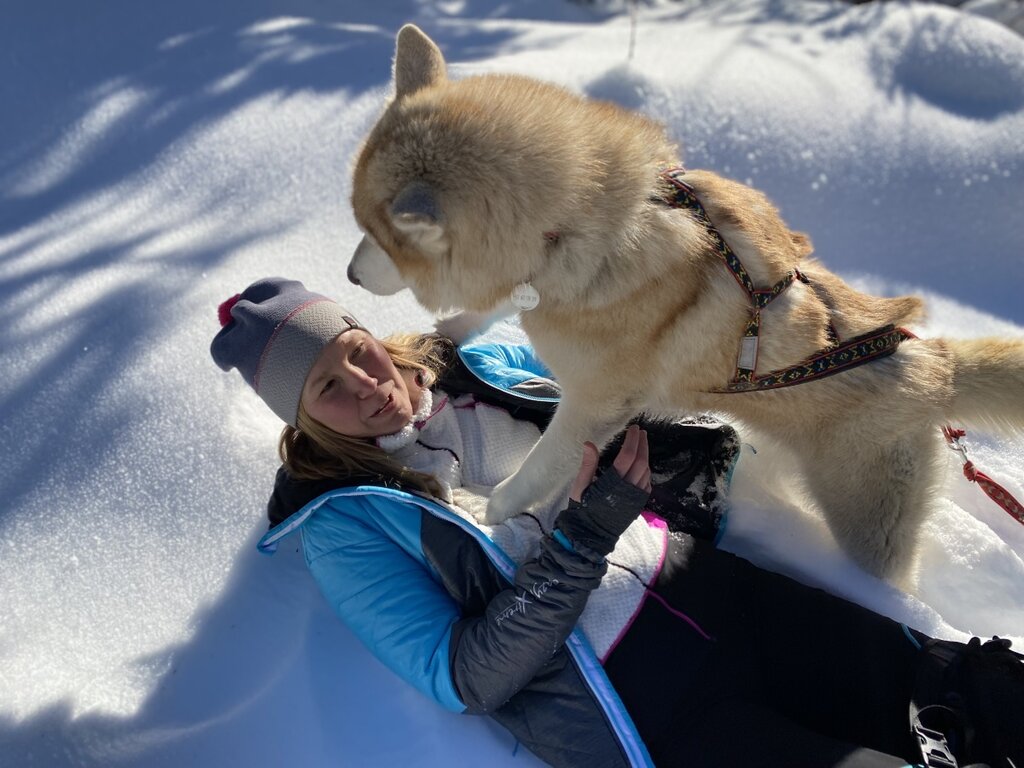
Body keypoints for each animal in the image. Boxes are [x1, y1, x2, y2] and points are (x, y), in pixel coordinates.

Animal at [350, 25, 1024, 589]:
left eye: (380, 237)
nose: (351, 274)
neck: (576, 231)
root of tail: (935, 365)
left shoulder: (593, 408)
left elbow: (535, 473)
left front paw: (486, 514)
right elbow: (488, 312)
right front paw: (447, 330)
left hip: (867, 527)